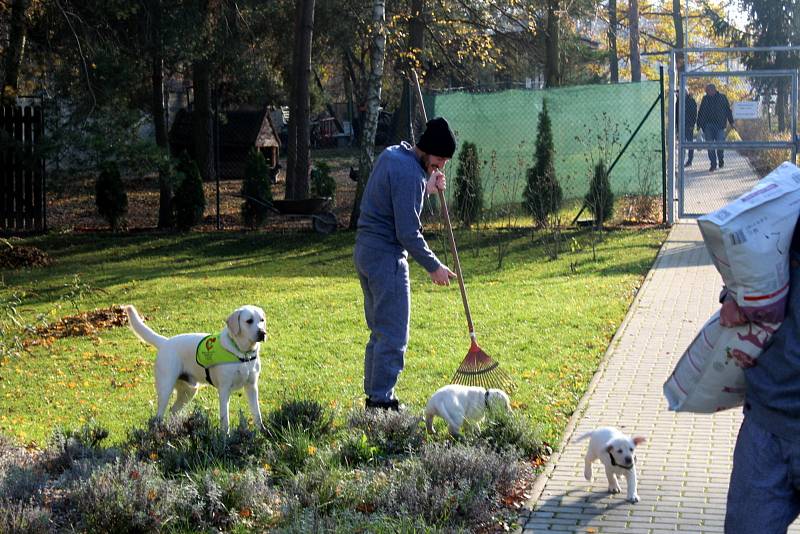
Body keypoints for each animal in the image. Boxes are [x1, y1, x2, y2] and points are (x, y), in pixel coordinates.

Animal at [122, 306, 266, 436]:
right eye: (249, 321)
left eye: (262, 320)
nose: (263, 333)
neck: (243, 354)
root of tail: (165, 342)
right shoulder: (224, 389)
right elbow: (225, 419)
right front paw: (225, 437)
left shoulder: (252, 387)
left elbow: (257, 413)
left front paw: (262, 431)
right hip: (165, 389)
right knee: (158, 417)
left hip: (189, 391)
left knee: (173, 411)